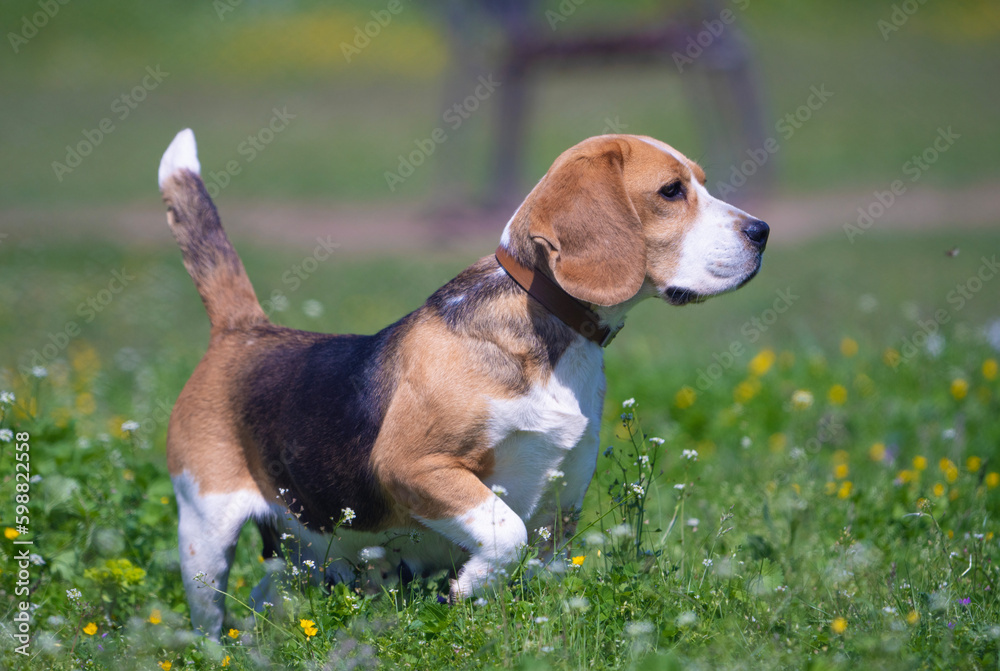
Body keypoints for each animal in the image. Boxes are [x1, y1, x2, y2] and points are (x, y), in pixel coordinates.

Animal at [158, 129, 764, 636]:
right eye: (671, 191)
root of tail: (245, 331)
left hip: (303, 552)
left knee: (265, 595)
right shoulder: (414, 466)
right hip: (204, 536)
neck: (551, 328)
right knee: (210, 617)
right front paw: (469, 586)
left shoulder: (560, 510)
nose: (762, 231)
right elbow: (505, 532)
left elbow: (533, 565)